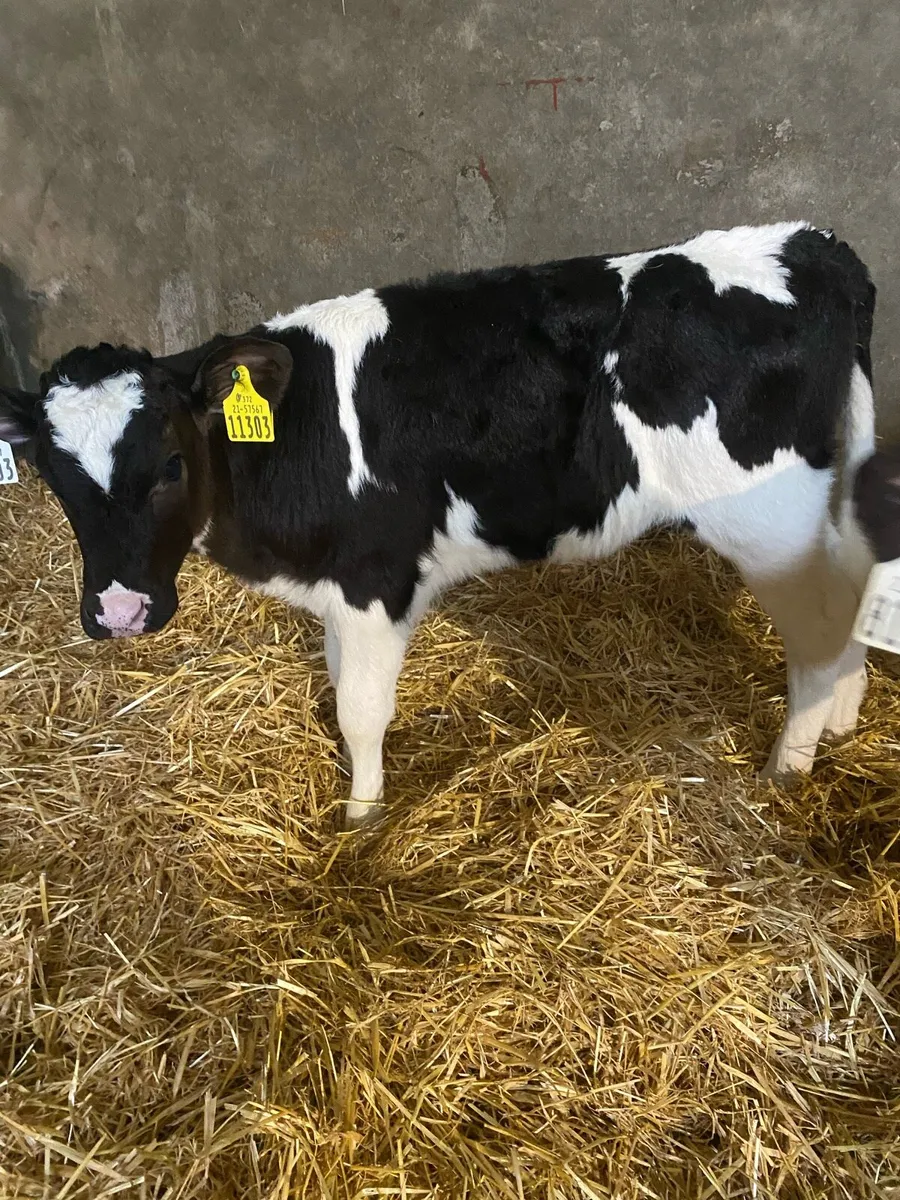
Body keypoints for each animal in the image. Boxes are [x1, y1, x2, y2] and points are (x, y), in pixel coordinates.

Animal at [0, 222, 878, 826]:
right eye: (51, 472)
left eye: (172, 464)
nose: (119, 611)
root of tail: (813, 245)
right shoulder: (337, 590)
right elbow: (336, 682)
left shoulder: (375, 579)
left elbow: (360, 711)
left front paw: (362, 820)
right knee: (853, 605)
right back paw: (842, 723)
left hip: (772, 523)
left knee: (817, 636)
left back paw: (787, 768)